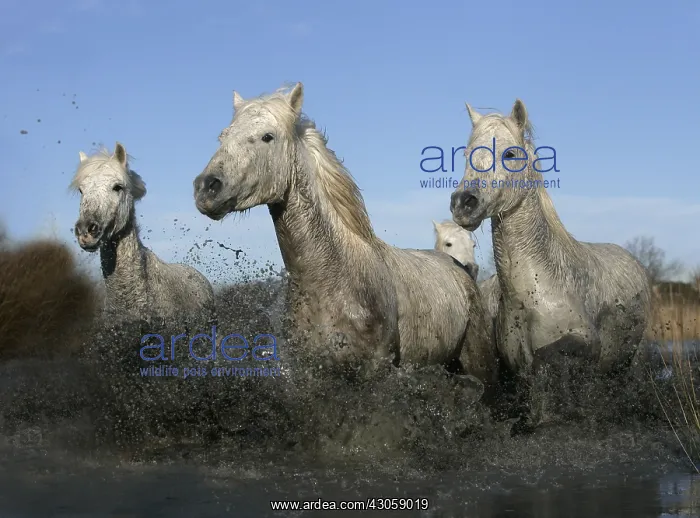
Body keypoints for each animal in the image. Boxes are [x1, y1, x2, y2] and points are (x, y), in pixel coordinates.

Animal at [192, 83, 497, 386]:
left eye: (268, 136)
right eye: (223, 136)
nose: (206, 187)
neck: (334, 278)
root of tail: (461, 271)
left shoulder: (375, 373)